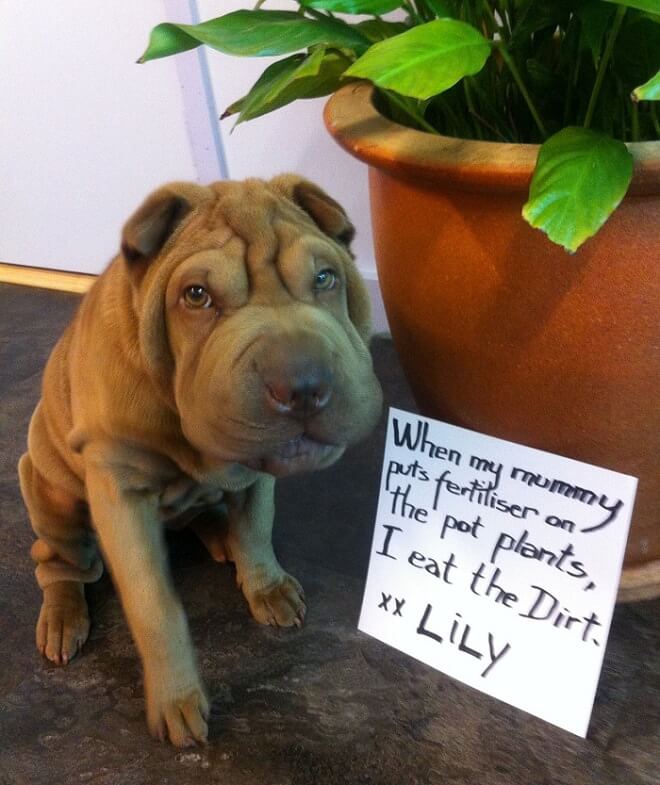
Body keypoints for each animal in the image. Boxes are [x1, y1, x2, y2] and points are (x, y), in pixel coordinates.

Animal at [18, 178, 384, 748]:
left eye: (325, 277)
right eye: (196, 295)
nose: (302, 385)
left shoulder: (257, 471)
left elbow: (256, 527)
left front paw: (266, 584)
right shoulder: (119, 494)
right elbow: (153, 603)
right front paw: (176, 699)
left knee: (209, 515)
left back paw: (219, 534)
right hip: (49, 490)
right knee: (59, 562)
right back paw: (62, 615)